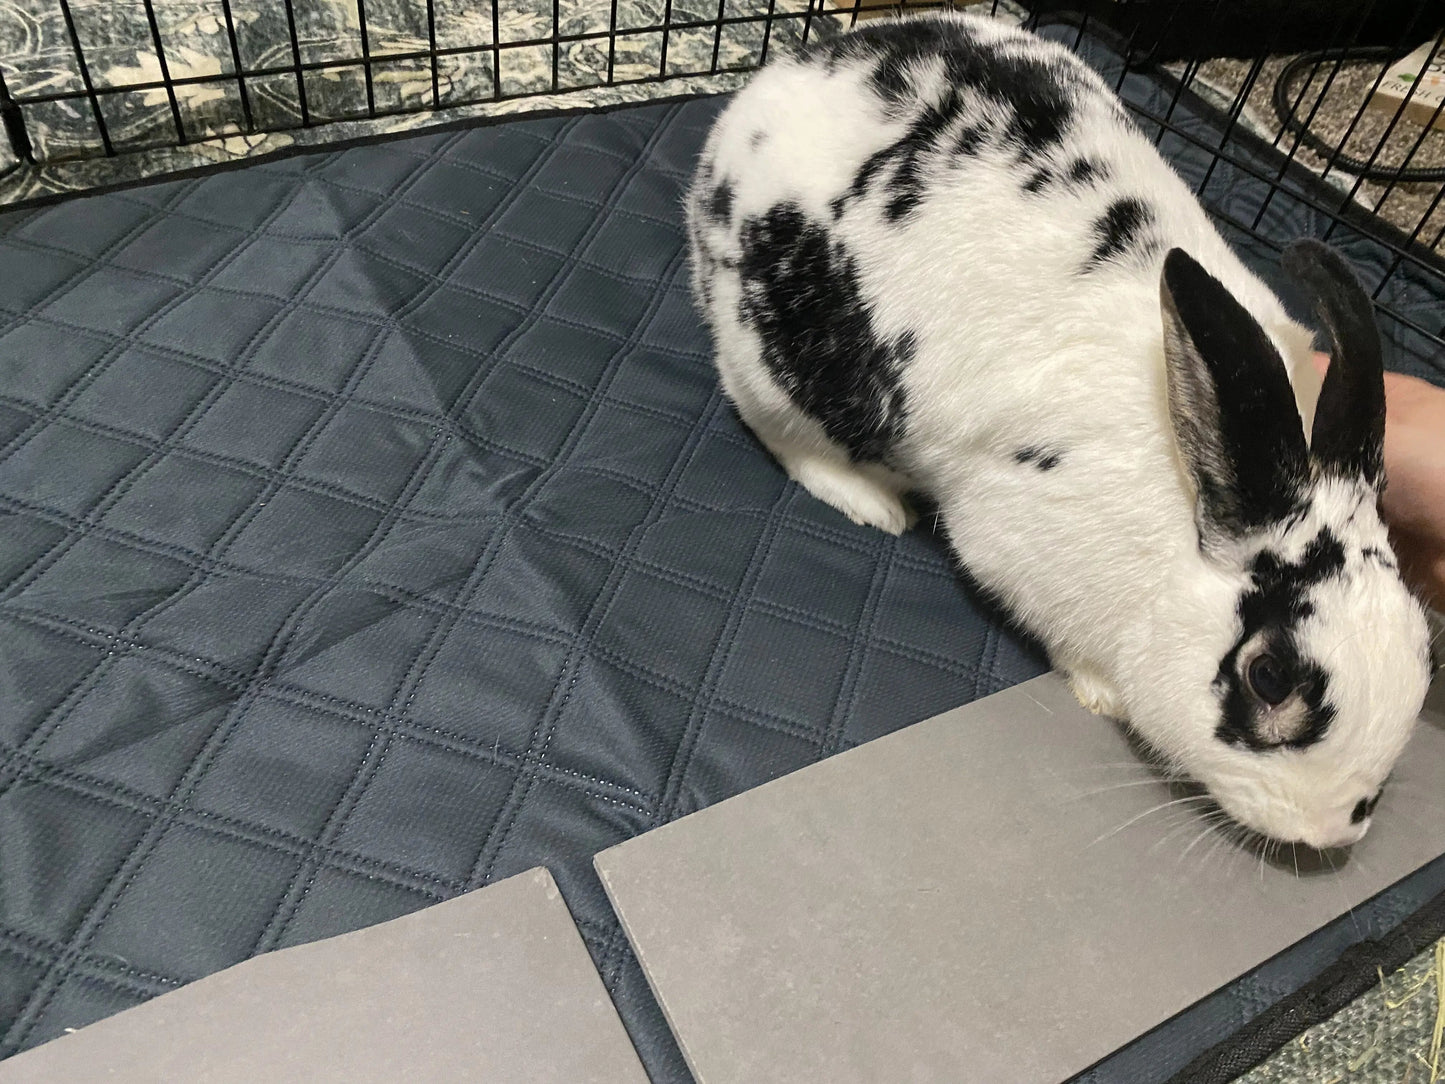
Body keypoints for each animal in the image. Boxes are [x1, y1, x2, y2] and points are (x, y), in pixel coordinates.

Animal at [685, 10, 1435, 850]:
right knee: (777, 430)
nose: (1334, 829)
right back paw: (874, 504)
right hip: (774, 366)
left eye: (1422, 649)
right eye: (1268, 677)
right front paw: (1101, 694)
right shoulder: (1012, 548)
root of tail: (749, 103)